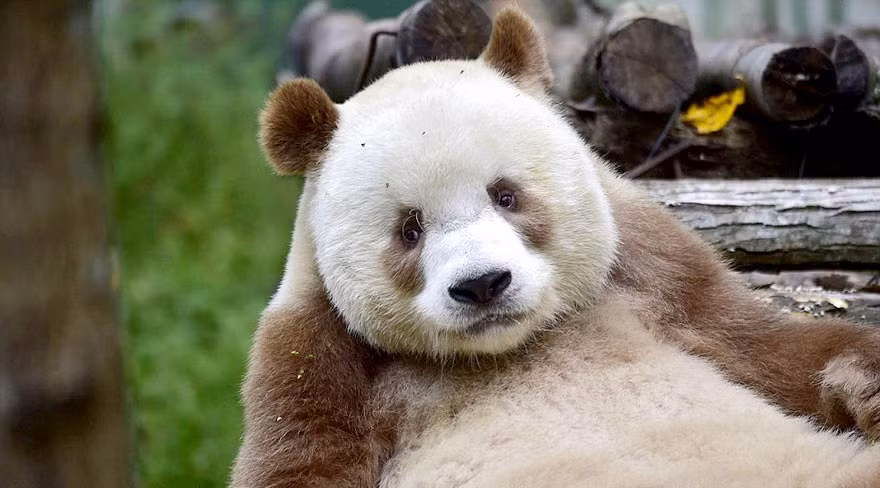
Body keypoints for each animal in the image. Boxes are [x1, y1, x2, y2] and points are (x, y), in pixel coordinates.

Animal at [231, 7, 880, 488]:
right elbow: (301, 458)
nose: (483, 285)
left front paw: (864, 387)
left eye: (506, 195)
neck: (509, 348)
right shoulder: (317, 354)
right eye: (409, 229)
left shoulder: (654, 277)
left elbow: (764, 346)